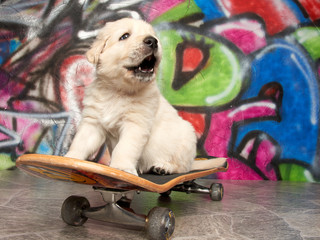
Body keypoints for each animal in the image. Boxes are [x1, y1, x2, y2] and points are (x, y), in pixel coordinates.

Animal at [65, 17, 225, 174]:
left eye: (153, 36)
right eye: (125, 36)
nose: (153, 41)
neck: (118, 91)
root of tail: (192, 163)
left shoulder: (135, 124)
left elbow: (124, 148)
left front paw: (122, 167)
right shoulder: (93, 122)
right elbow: (80, 143)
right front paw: (70, 158)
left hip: (186, 140)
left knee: (181, 168)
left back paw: (163, 167)